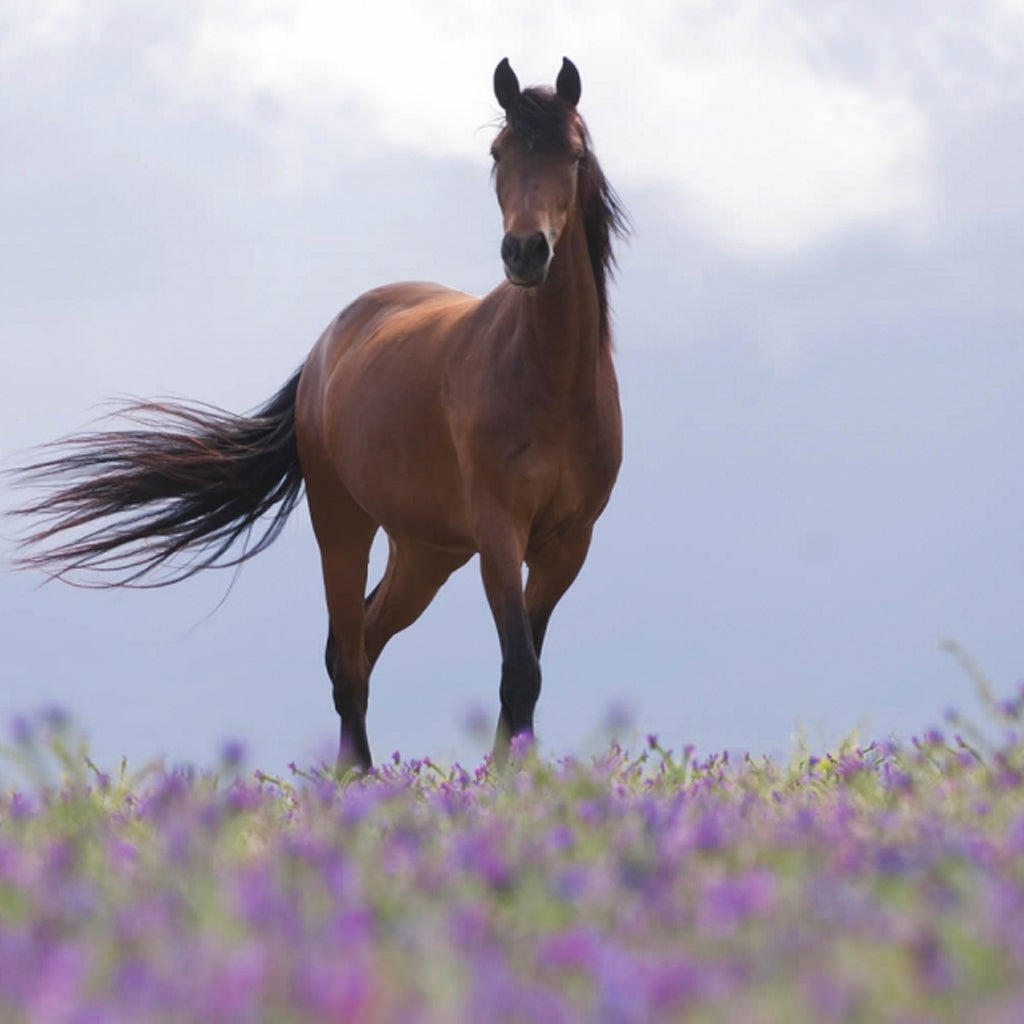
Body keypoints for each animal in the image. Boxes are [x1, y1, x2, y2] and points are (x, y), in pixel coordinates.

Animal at [12, 58, 626, 770]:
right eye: (499, 153)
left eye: (573, 154)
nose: (525, 252)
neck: (548, 381)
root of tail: (327, 343)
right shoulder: (500, 534)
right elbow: (520, 670)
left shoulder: (566, 545)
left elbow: (523, 674)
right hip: (343, 525)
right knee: (349, 661)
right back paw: (353, 783)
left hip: (427, 552)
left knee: (363, 639)